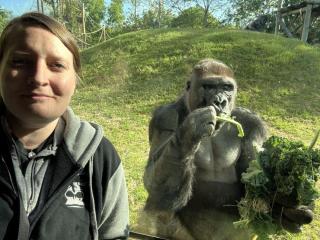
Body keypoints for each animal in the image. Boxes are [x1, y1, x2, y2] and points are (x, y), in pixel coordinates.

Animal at [141, 58, 314, 240]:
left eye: (227, 87)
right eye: (209, 86)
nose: (220, 101)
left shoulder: (253, 123)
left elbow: (253, 181)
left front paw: (286, 200)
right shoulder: (164, 117)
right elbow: (155, 186)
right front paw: (190, 131)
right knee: (160, 206)